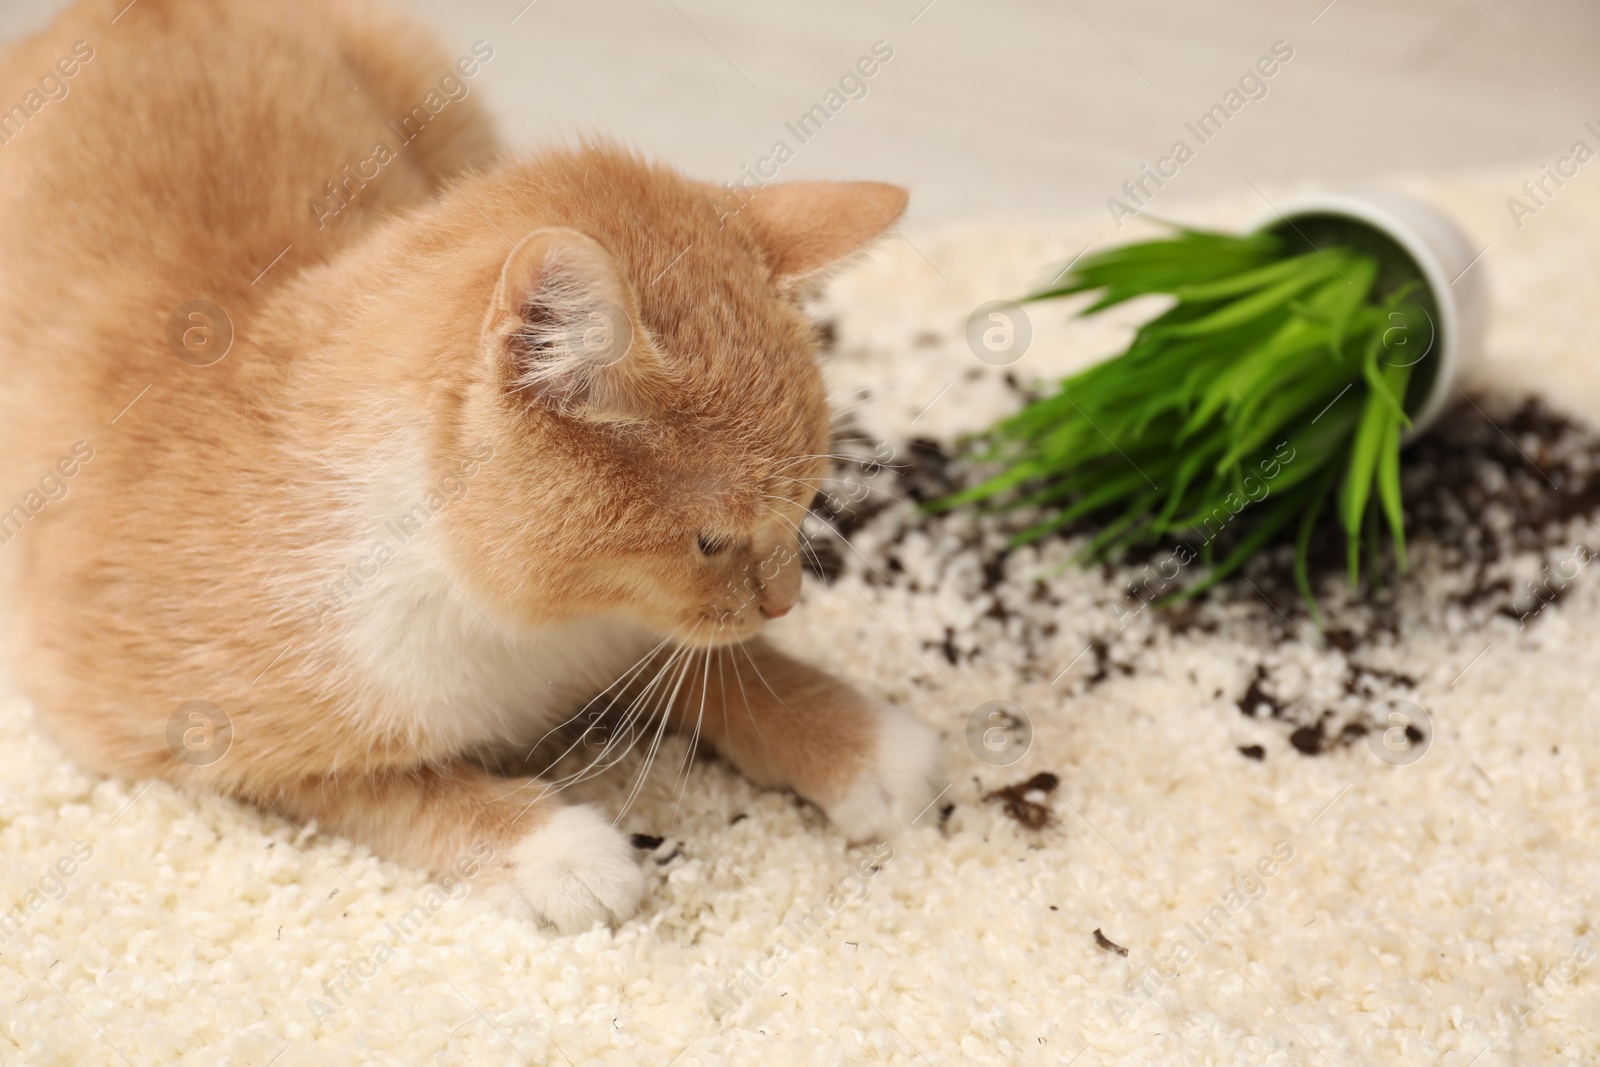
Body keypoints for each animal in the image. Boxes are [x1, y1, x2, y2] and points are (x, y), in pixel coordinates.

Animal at [0, 0, 940, 927]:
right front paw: (549, 849)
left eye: (804, 505)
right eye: (711, 540)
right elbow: (373, 783)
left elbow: (701, 661)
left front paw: (851, 733)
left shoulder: (620, 632)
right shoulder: (142, 714)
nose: (785, 601)